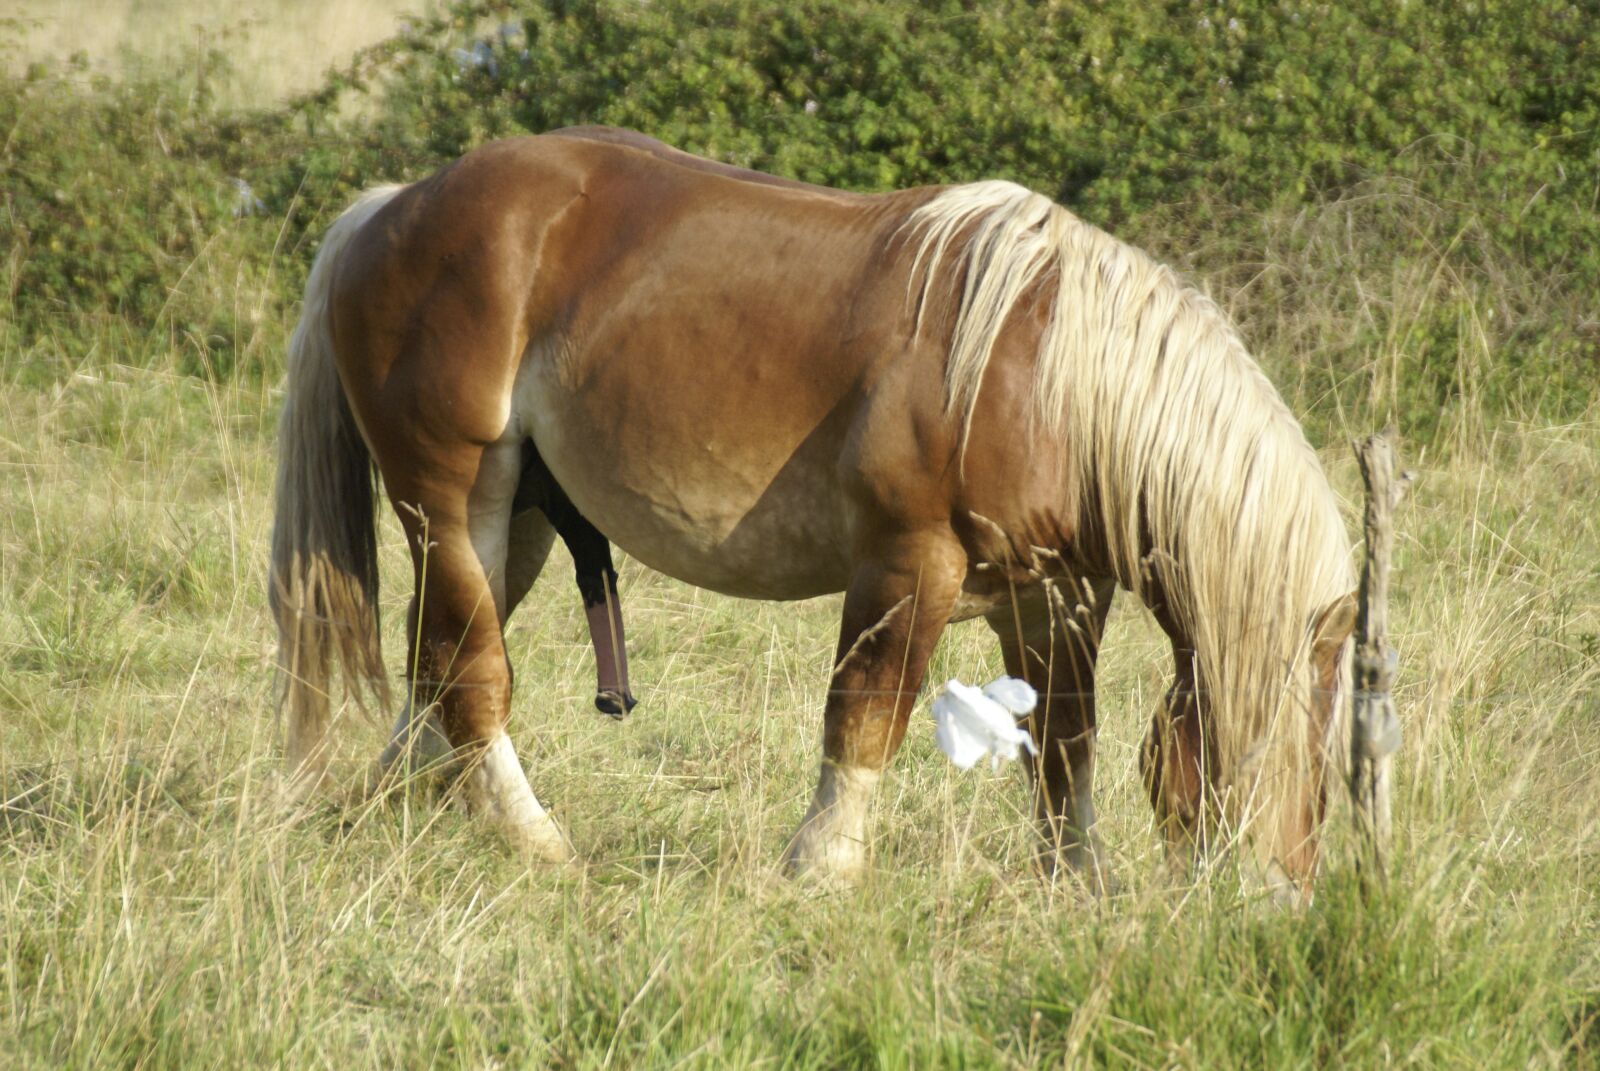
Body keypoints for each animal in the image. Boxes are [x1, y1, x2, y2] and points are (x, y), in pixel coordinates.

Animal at [268, 127, 1356, 896]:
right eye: (1303, 752)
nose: (1284, 903)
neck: (1047, 379)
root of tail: (391, 209)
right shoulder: (908, 565)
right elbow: (864, 716)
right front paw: (822, 867)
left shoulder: (1053, 599)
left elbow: (1063, 748)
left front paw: (1081, 885)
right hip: (453, 501)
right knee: (470, 675)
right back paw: (533, 839)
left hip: (521, 526)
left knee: (435, 664)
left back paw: (401, 805)